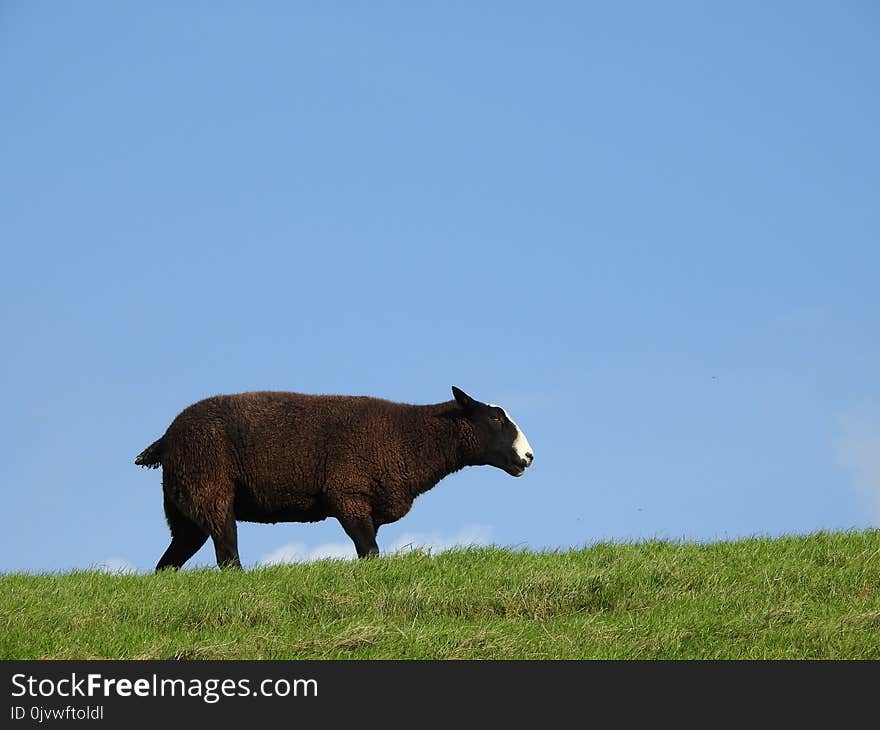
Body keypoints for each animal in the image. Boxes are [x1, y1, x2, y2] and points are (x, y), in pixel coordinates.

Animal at [136, 386, 536, 568]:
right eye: (495, 418)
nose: (528, 457)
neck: (409, 437)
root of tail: (167, 439)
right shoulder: (348, 495)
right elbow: (370, 552)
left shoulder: (369, 507)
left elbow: (368, 549)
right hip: (209, 486)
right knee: (227, 556)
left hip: (183, 504)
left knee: (168, 562)